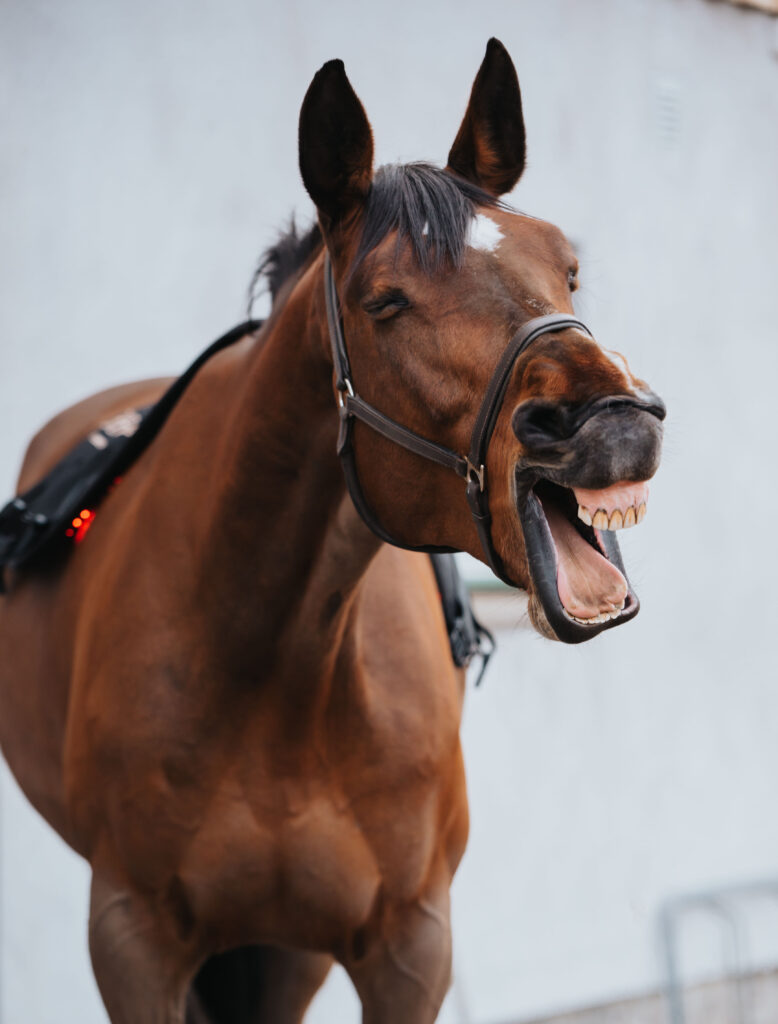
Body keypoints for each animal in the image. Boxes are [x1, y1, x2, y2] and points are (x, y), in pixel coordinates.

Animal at [0, 38, 664, 1024]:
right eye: (384, 301)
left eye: (568, 269)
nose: (614, 422)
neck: (276, 671)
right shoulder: (132, 943)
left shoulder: (408, 947)